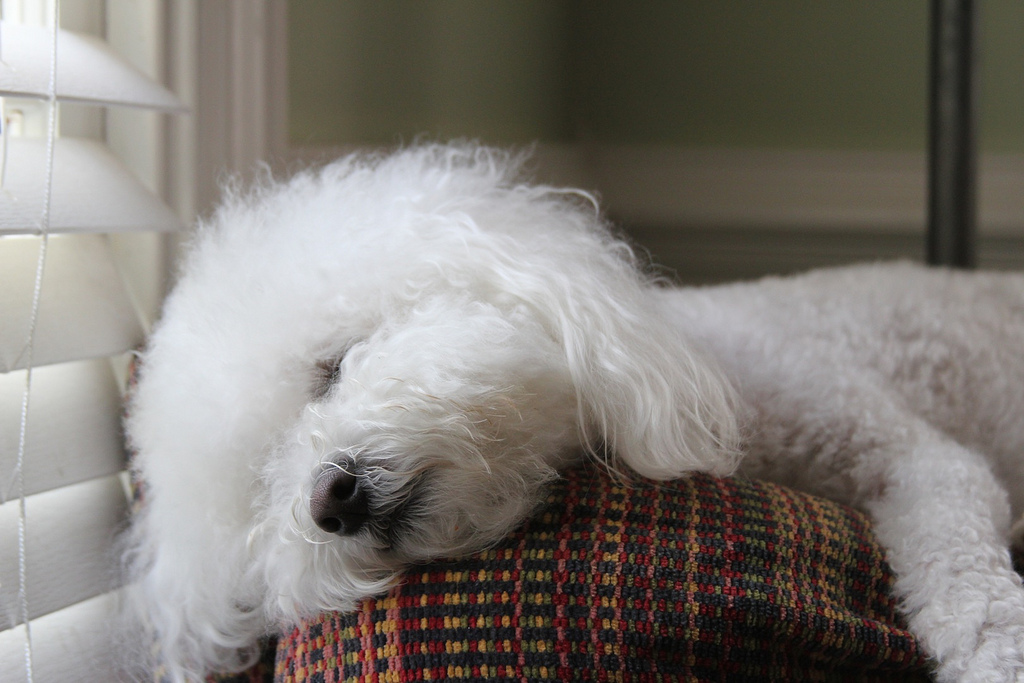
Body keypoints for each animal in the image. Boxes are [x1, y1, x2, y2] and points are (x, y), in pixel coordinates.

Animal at [125, 141, 1024, 679]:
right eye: (260, 482)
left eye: (333, 366)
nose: (328, 498)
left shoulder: (911, 455)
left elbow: (962, 569)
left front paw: (994, 652)